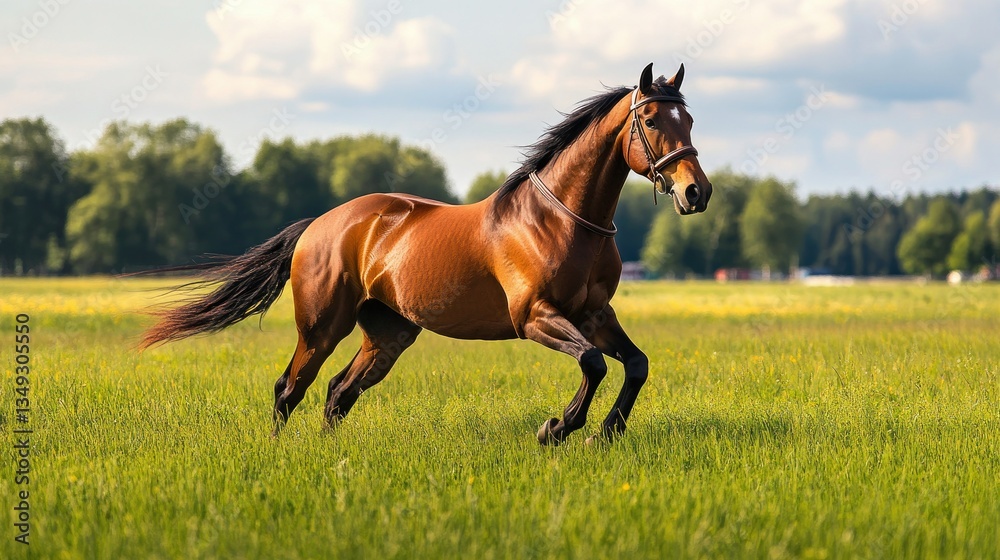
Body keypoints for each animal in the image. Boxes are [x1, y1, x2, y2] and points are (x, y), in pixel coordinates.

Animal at [141, 62, 712, 445]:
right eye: (653, 121)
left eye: (689, 121)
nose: (696, 193)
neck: (559, 221)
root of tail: (319, 225)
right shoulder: (535, 317)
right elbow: (593, 363)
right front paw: (556, 428)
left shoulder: (594, 314)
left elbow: (635, 364)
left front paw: (604, 432)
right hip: (323, 326)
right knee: (290, 388)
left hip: (388, 332)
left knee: (338, 392)